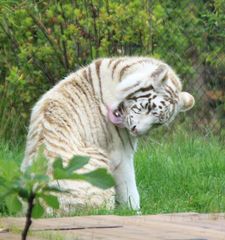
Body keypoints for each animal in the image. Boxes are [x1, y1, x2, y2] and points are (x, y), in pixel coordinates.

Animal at [21, 57, 194, 211]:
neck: (120, 77)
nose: (135, 130)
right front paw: (134, 212)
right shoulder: (121, 154)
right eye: (148, 107)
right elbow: (130, 188)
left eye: (157, 123)